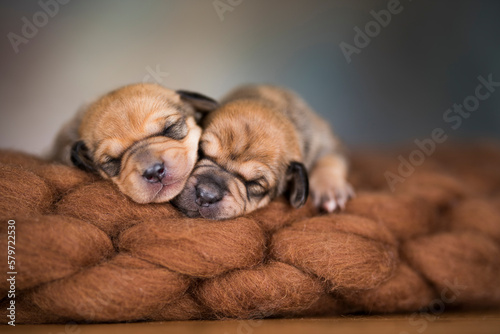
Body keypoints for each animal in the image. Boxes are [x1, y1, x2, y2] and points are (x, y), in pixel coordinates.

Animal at [174, 84, 354, 219]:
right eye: (200, 152)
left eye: (255, 184)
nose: (206, 195)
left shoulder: (327, 142)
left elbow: (330, 159)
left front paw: (330, 189)